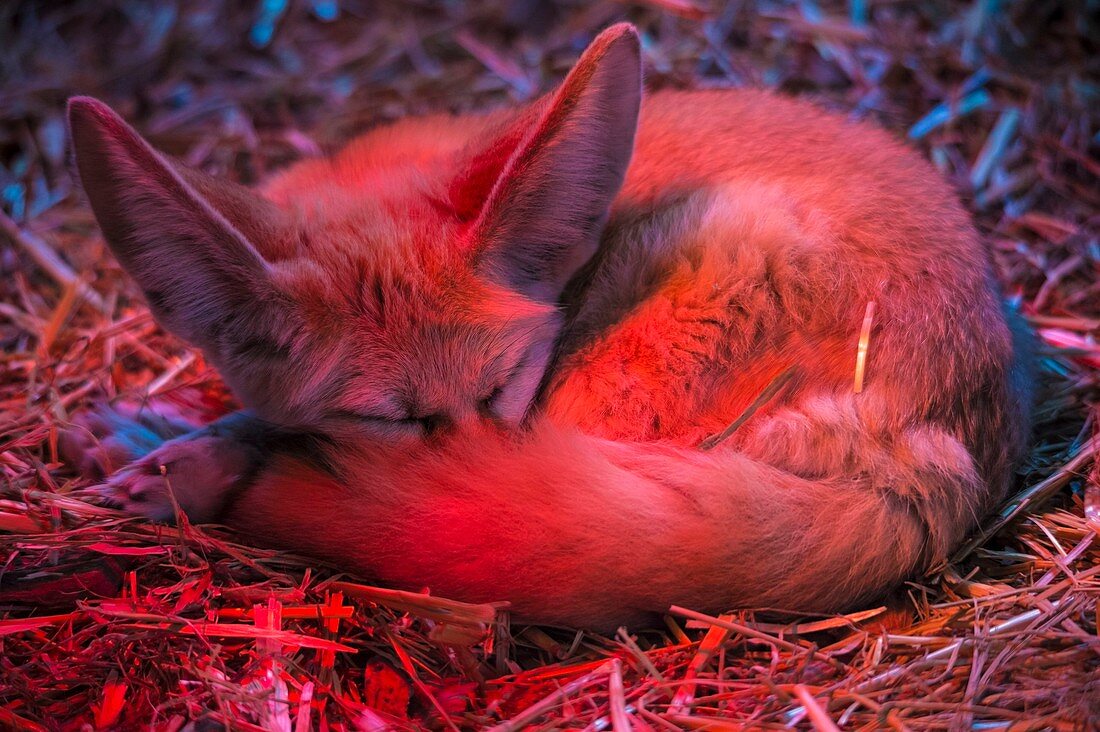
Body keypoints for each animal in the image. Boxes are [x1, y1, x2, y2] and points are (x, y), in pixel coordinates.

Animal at [66, 24, 1029, 629]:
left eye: (501, 389)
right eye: (389, 417)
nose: (459, 465)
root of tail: (946, 447)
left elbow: (265, 433)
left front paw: (186, 455)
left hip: (606, 392)